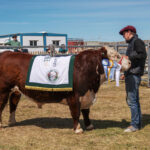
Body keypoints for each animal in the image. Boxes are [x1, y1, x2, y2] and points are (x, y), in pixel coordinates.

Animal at [0, 46, 131, 133]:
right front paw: (78, 129)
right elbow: (76, 112)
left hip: (16, 90)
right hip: (3, 90)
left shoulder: (86, 95)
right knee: (2, 106)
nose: (129, 62)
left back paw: (12, 121)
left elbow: (86, 112)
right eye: (117, 56)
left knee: (13, 104)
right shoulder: (74, 96)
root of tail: (6, 53)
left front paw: (89, 126)